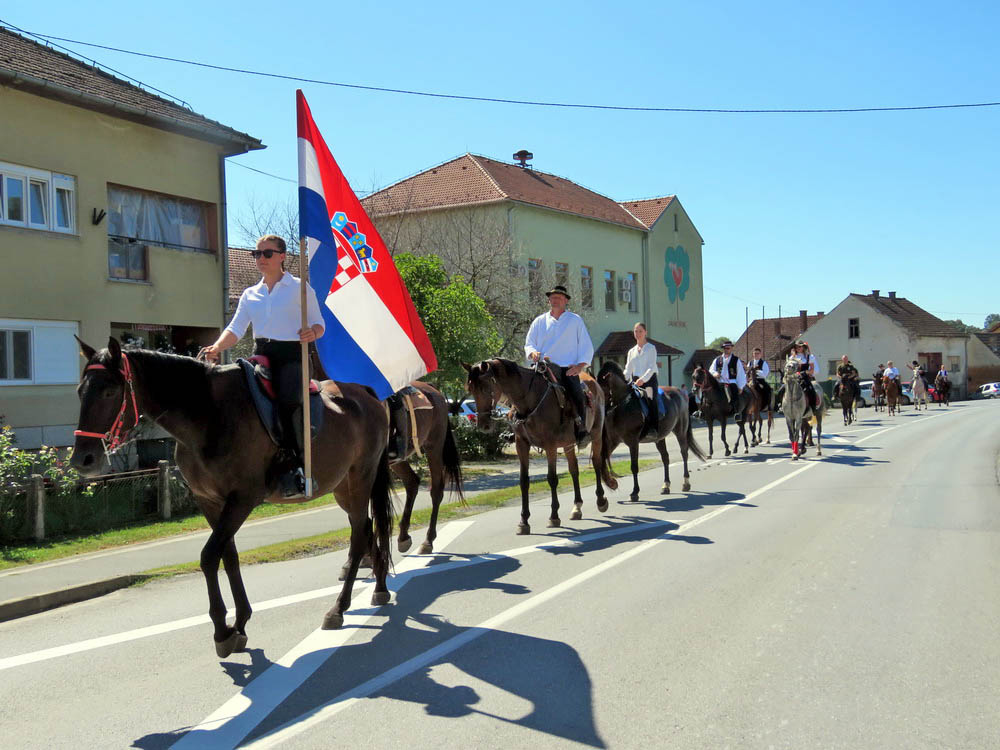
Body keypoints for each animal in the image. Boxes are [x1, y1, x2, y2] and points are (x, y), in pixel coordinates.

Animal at [70, 338, 394, 657]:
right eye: (80, 391)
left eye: (110, 391)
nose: (82, 460)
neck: (207, 415)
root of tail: (366, 394)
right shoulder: (210, 502)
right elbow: (229, 556)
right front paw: (239, 623)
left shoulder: (242, 500)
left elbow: (209, 557)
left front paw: (222, 631)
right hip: (342, 487)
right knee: (366, 527)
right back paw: (379, 587)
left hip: (361, 479)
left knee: (358, 534)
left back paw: (338, 608)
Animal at [463, 358, 616, 534]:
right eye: (470, 389)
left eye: (485, 387)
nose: (483, 425)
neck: (530, 401)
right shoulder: (521, 444)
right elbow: (524, 481)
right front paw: (523, 521)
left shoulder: (550, 445)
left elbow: (552, 478)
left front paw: (554, 516)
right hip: (568, 443)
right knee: (574, 470)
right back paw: (577, 507)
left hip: (596, 435)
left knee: (597, 463)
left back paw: (601, 500)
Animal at [596, 361, 707, 500]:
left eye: (601, 389)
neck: (623, 404)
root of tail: (681, 393)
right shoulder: (612, 441)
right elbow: (601, 460)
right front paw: (611, 484)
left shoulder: (633, 442)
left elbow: (634, 466)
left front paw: (635, 492)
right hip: (660, 438)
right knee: (665, 458)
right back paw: (666, 486)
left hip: (680, 431)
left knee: (684, 453)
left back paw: (685, 483)